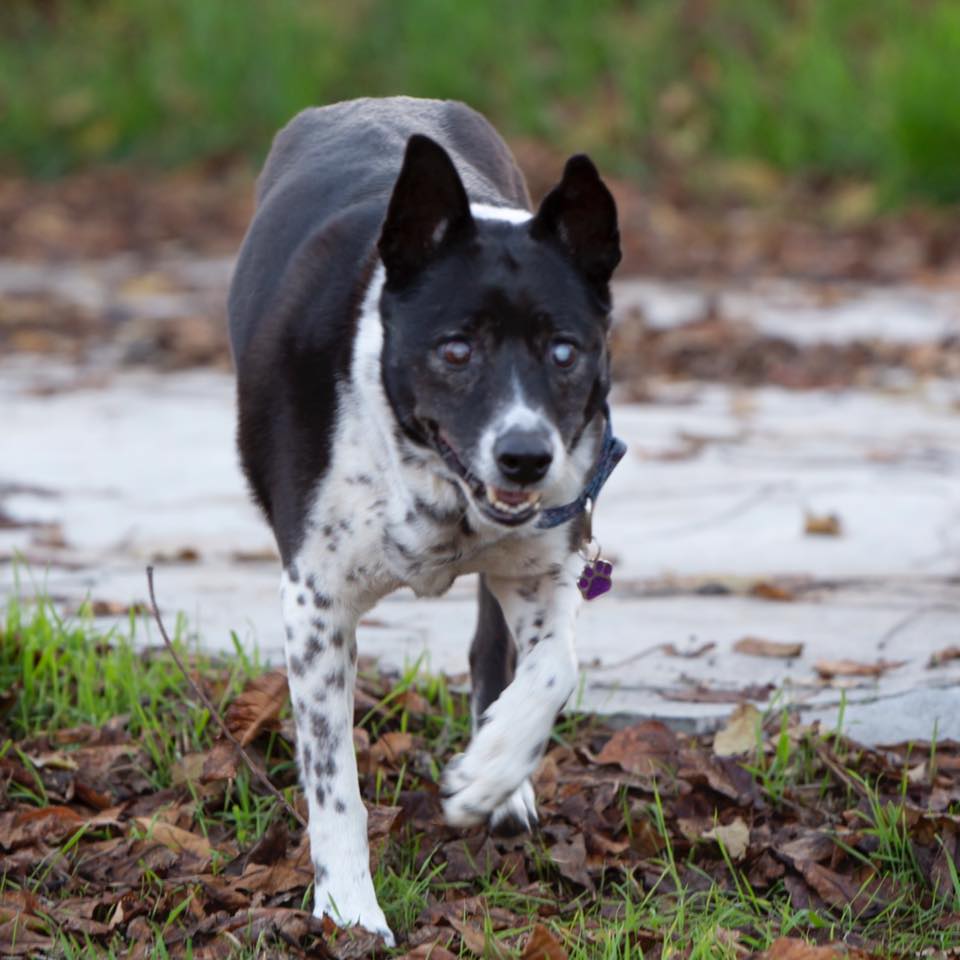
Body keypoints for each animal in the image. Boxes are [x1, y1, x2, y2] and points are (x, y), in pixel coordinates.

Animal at [228, 96, 623, 944]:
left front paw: (490, 772)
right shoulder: (314, 604)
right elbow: (334, 781)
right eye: (455, 349)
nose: (525, 457)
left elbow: (556, 668)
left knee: (492, 653)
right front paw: (349, 912)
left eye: (565, 351)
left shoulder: (544, 567)